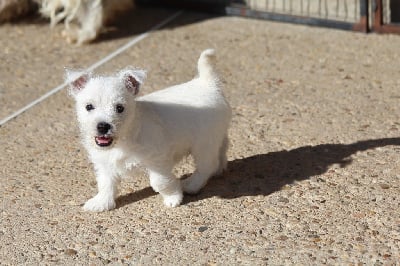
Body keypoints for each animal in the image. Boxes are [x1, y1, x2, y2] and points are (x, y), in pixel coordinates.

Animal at [67, 49, 233, 212]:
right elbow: (105, 183)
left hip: (204, 143)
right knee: (221, 150)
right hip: (215, 136)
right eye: (89, 106)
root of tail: (208, 83)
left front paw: (173, 198)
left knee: (207, 165)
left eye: (119, 108)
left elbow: (159, 181)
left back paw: (191, 184)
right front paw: (101, 202)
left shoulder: (157, 160)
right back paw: (219, 169)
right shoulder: (105, 164)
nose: (103, 126)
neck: (124, 139)